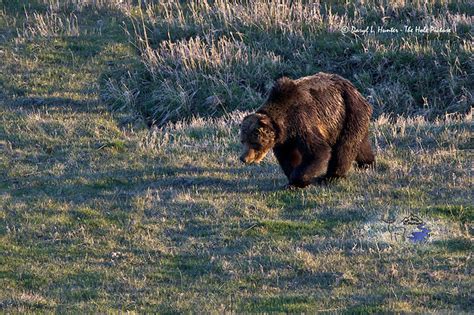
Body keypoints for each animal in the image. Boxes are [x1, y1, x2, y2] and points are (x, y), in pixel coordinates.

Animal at [239, 73, 376, 189]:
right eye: (243, 141)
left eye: (254, 142)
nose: (243, 158)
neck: (285, 122)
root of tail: (357, 91)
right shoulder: (285, 139)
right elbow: (288, 157)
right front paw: (292, 179)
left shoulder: (303, 122)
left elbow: (317, 151)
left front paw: (297, 182)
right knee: (361, 144)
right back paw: (367, 163)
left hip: (349, 113)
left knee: (344, 148)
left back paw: (331, 176)